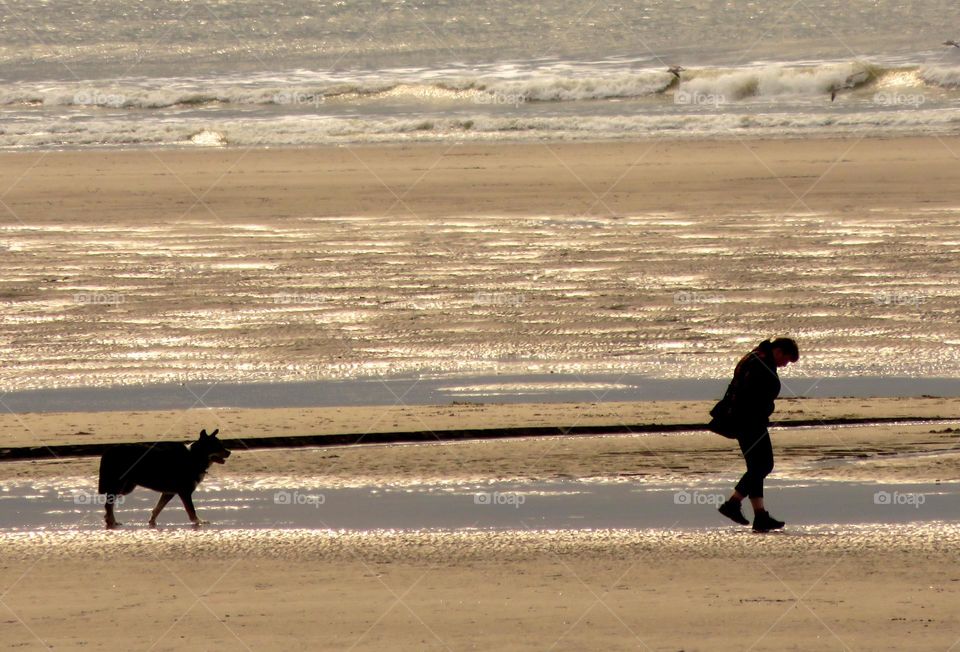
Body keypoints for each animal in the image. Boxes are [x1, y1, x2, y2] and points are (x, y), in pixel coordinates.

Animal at [97, 428, 231, 528]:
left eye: (221, 445)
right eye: (217, 446)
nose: (229, 452)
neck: (194, 456)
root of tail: (109, 450)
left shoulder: (168, 493)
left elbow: (157, 508)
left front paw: (152, 522)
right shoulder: (185, 492)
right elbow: (191, 510)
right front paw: (198, 522)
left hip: (125, 487)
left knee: (109, 504)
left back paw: (109, 520)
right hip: (120, 485)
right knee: (108, 504)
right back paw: (112, 521)